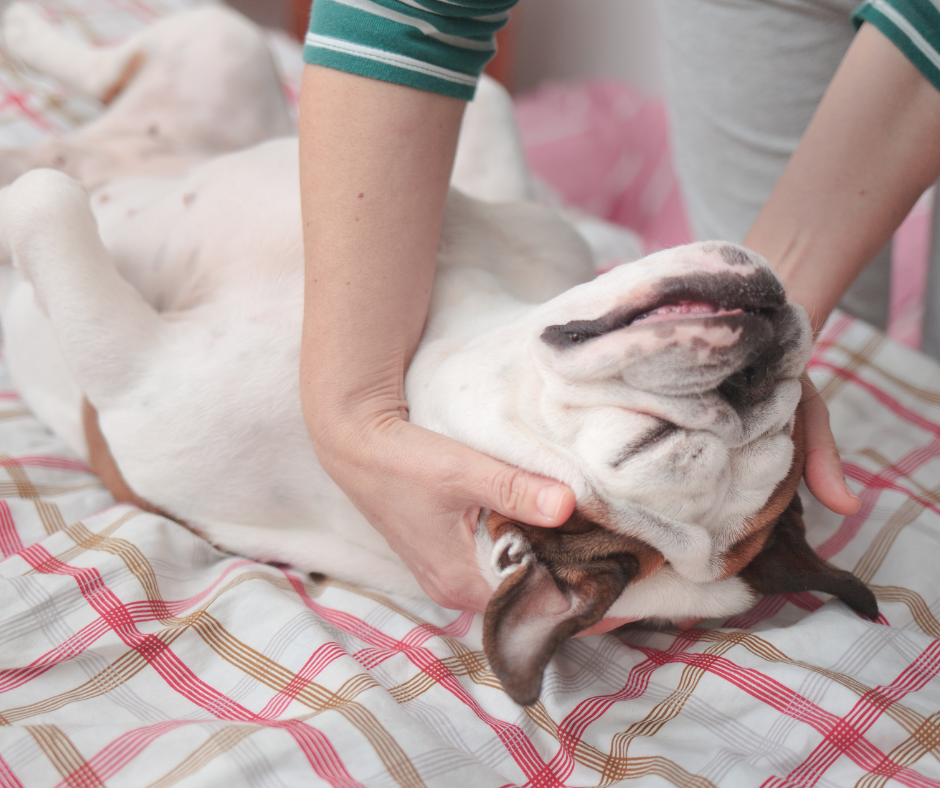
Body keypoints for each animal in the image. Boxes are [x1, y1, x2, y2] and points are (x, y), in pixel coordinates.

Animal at [0, 3, 876, 704]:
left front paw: (18, 195)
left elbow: (45, 200)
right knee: (118, 74)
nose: (754, 372)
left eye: (647, 446)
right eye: (785, 415)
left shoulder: (132, 378)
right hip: (226, 50)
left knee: (76, 146)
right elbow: (488, 97)